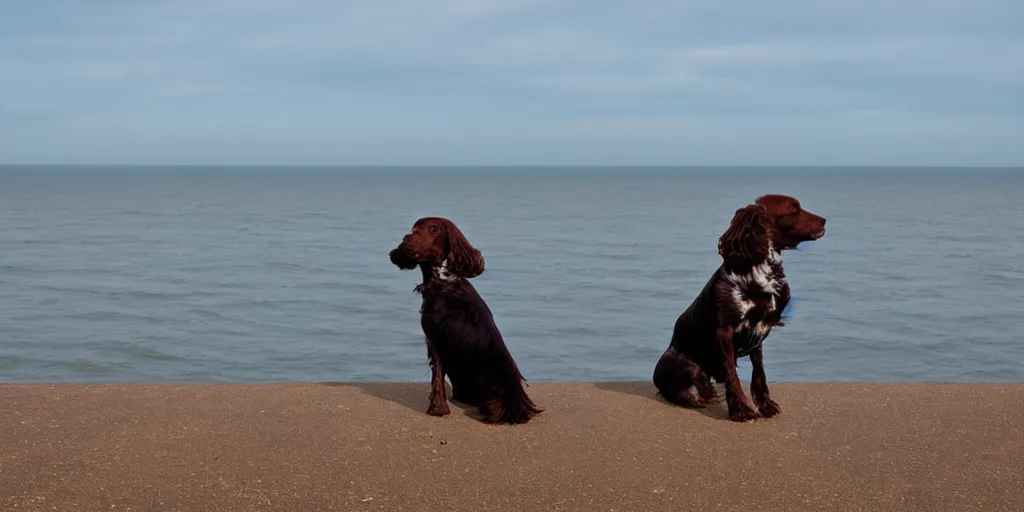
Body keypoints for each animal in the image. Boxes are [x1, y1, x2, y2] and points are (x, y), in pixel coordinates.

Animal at [387, 216, 544, 423]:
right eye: (413, 229)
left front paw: (437, 409)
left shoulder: (435, 339)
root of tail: (517, 405)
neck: (444, 281)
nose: (406, 240)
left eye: (433, 229)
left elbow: (437, 378)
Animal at [651, 193, 827, 421]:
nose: (824, 220)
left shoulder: (760, 330)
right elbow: (732, 375)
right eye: (792, 208)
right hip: (689, 368)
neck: (759, 273)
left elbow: (759, 373)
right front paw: (742, 410)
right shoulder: (725, 332)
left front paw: (765, 406)